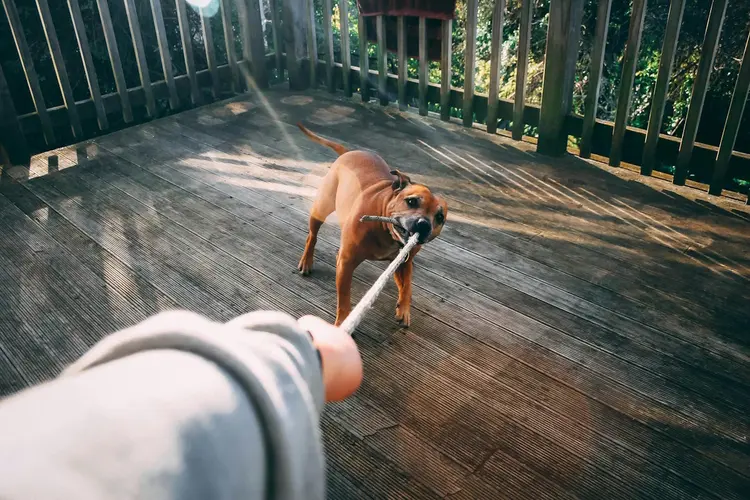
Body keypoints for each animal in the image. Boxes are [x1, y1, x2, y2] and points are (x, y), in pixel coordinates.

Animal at [296, 124, 450, 328]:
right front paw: (343, 322)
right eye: (411, 201)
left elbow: (407, 285)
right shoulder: (346, 263)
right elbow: (344, 298)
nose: (423, 225)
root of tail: (349, 152)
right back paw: (306, 261)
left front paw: (404, 309)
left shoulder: (404, 262)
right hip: (321, 208)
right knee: (312, 236)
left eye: (440, 217)